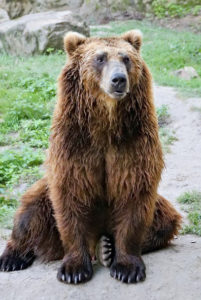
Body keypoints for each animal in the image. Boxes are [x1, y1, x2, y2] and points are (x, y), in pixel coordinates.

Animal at [0, 29, 181, 284]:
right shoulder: (75, 145)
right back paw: (12, 258)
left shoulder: (133, 143)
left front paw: (127, 267)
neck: (105, 124)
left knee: (166, 221)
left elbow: (134, 195)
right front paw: (74, 270)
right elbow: (71, 197)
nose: (118, 79)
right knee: (29, 213)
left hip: (157, 208)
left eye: (126, 58)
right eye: (100, 58)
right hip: (44, 195)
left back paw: (107, 248)